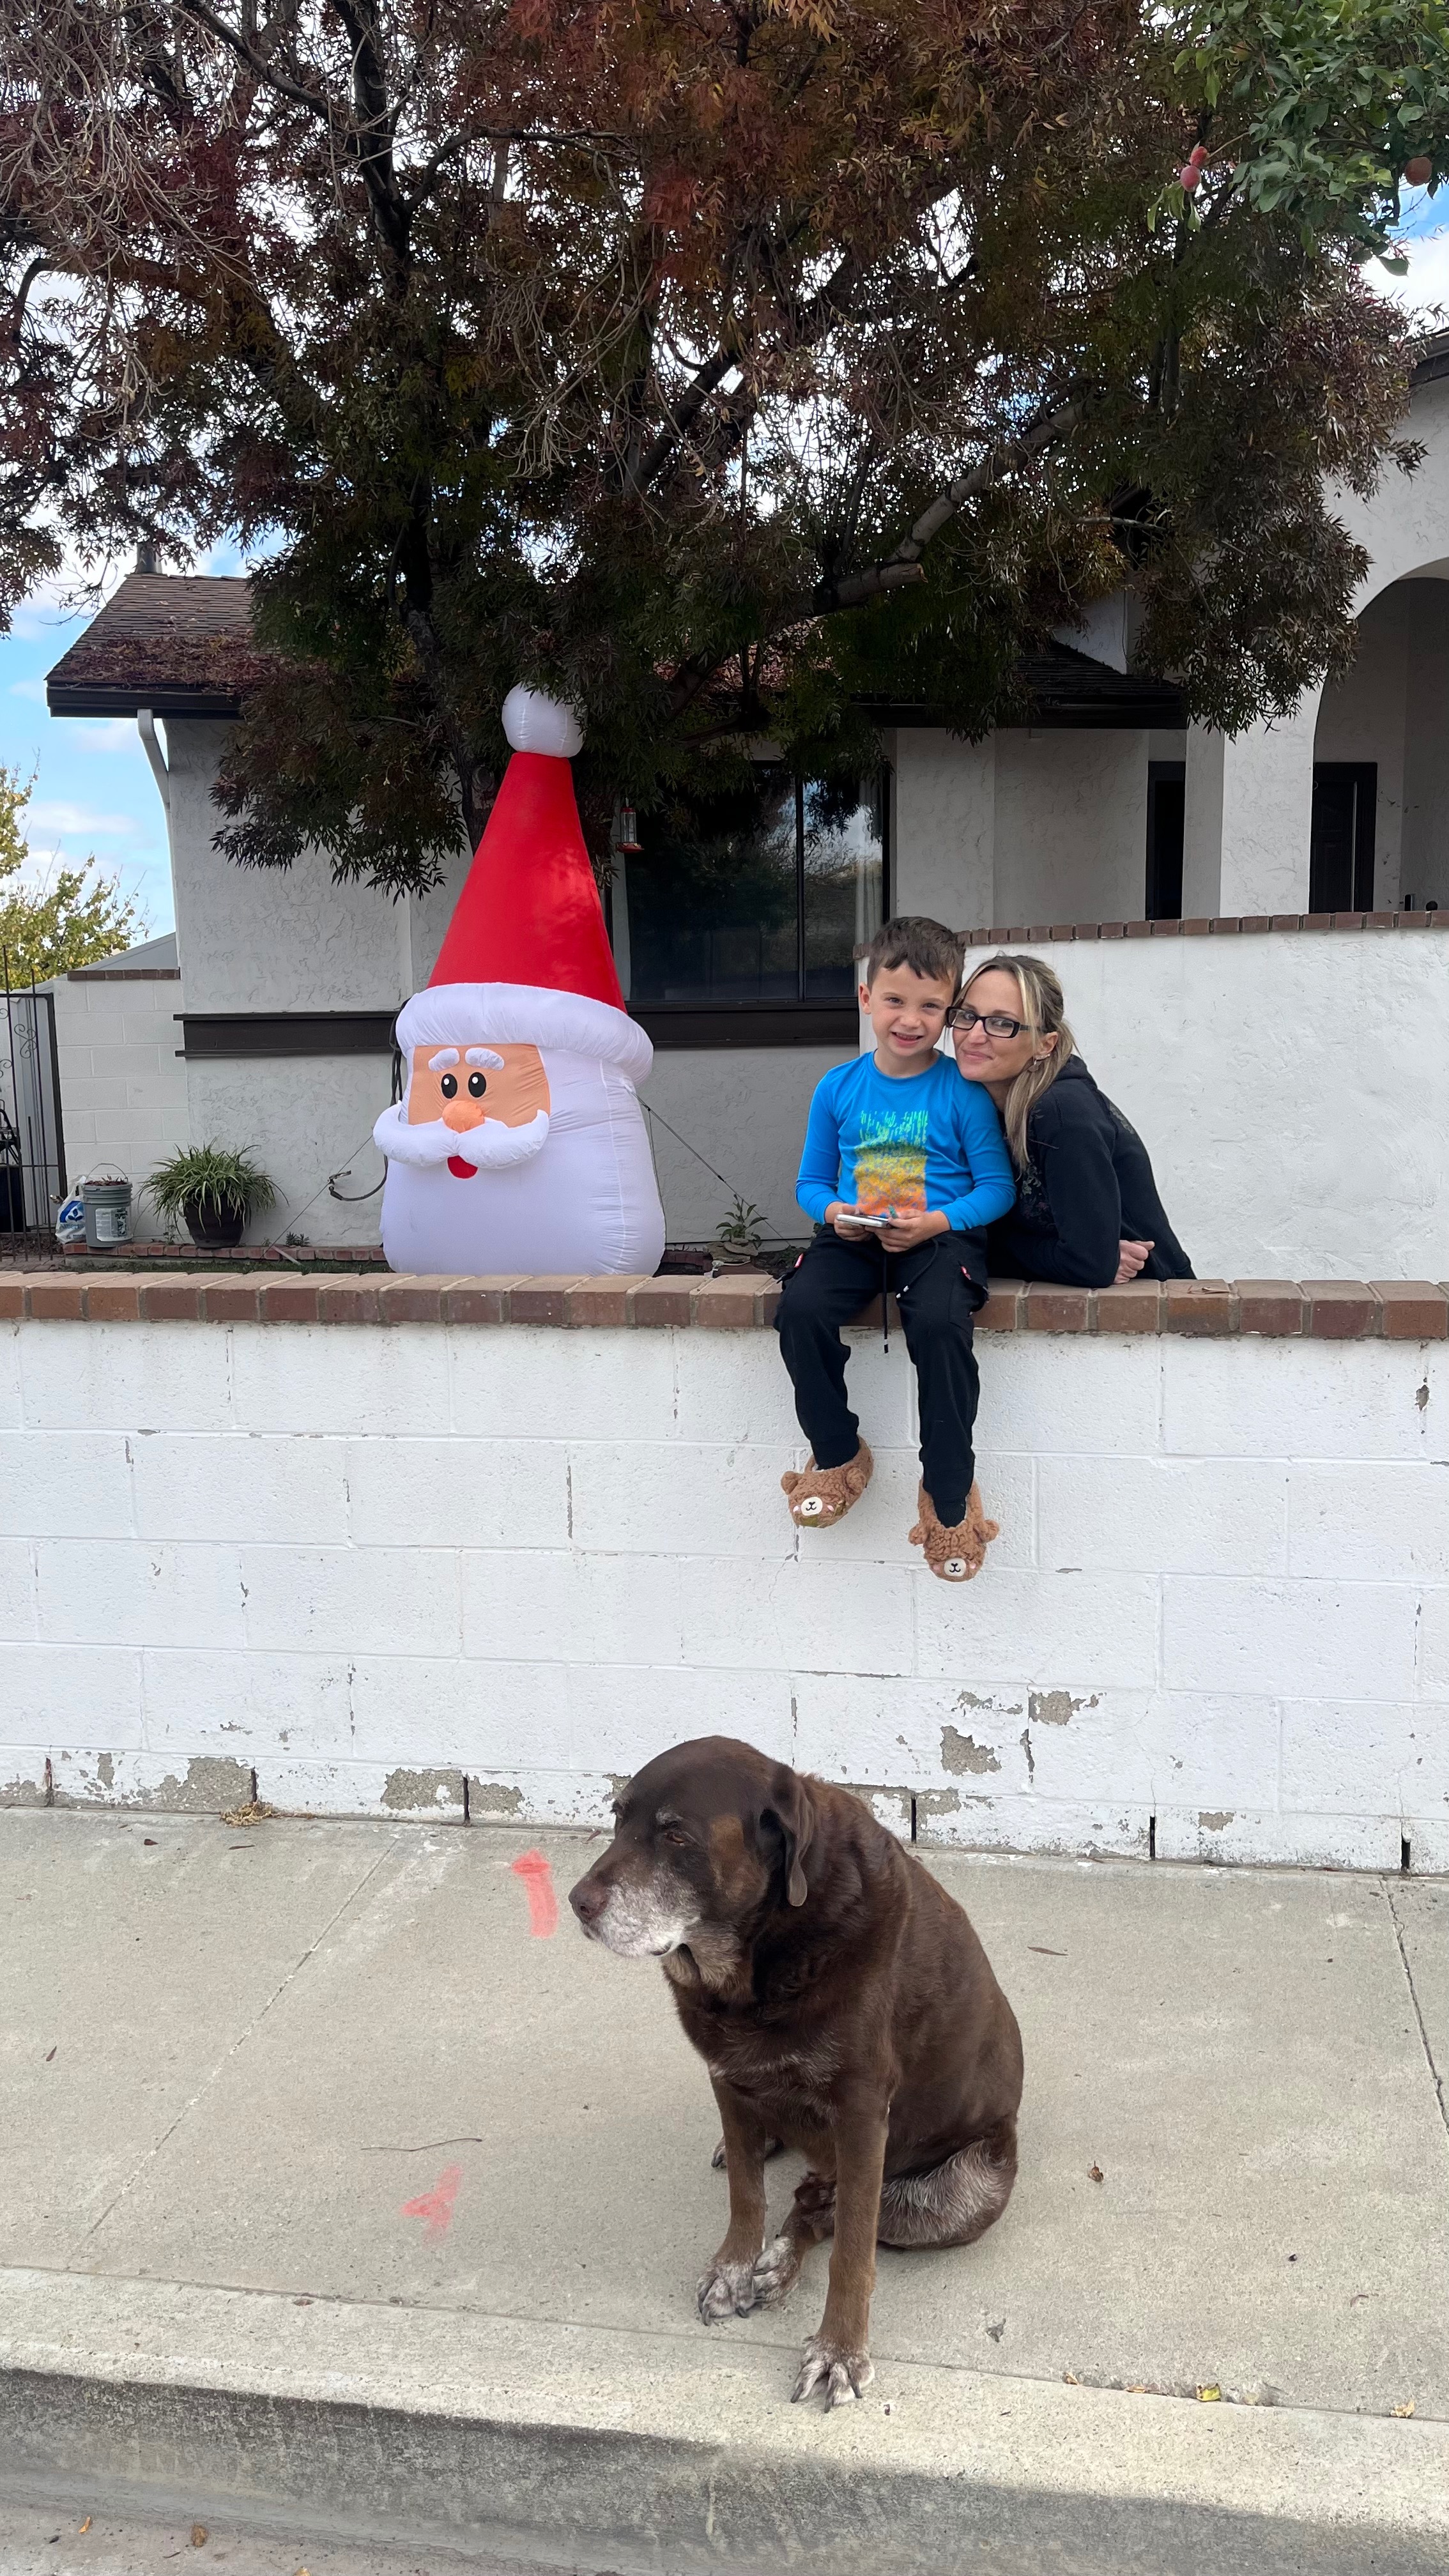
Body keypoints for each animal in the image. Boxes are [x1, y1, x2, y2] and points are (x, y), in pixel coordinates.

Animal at [568, 1734, 1023, 2408]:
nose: (577, 1903)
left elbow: (854, 2252)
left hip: (970, 2188)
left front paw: (838, 2351)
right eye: (617, 1819)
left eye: (676, 1835)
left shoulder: (861, 2112)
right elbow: (746, 2194)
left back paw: (783, 2260)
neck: (762, 1956)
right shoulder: (724, 2074)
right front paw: (733, 2268)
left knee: (827, 2212)